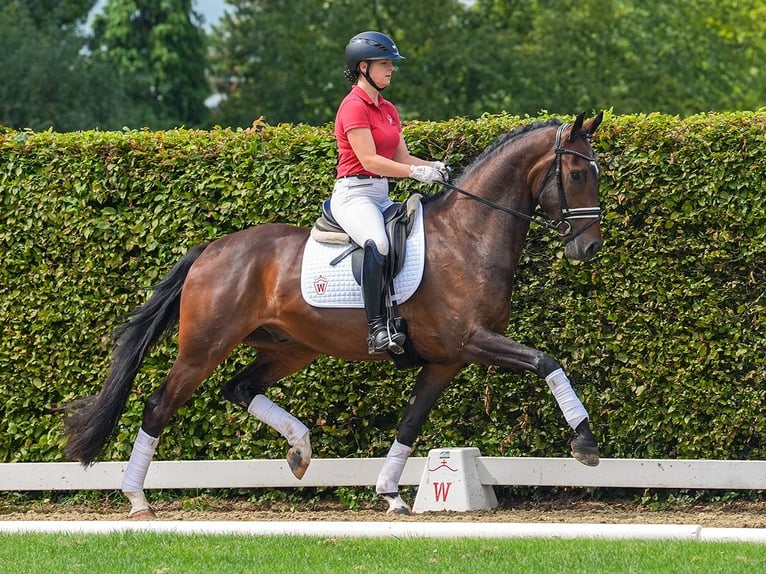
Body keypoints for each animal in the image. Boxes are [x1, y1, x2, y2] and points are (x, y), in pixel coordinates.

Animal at [63, 111, 608, 516]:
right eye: (578, 174)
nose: (589, 248)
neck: (468, 235)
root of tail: (211, 249)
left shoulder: (445, 360)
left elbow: (410, 423)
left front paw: (390, 494)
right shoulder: (473, 341)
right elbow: (547, 362)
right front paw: (585, 444)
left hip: (290, 347)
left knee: (240, 388)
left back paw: (300, 450)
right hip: (204, 347)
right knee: (159, 406)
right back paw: (137, 498)